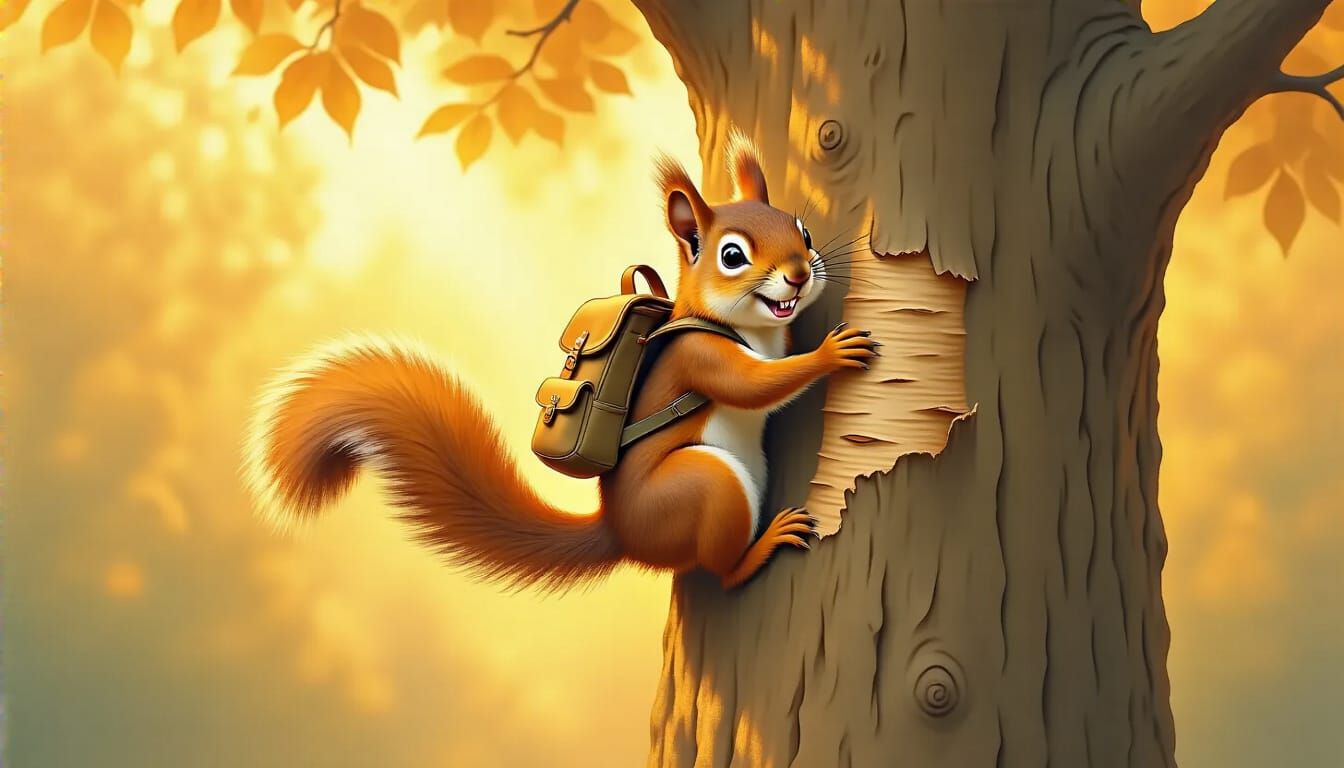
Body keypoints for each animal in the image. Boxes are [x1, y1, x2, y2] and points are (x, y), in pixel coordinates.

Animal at [243, 137, 879, 592]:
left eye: (802, 229)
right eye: (731, 256)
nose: (798, 275)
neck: (741, 327)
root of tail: (622, 534)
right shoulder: (700, 357)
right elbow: (752, 386)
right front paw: (831, 353)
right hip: (706, 487)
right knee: (721, 572)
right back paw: (761, 548)